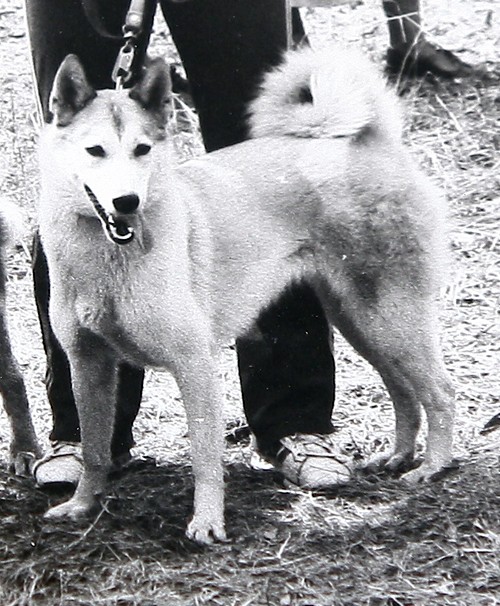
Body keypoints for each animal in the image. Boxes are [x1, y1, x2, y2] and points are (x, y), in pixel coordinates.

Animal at [37, 47, 455, 544]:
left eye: (142, 150)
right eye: (95, 151)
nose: (127, 203)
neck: (108, 259)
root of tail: (370, 141)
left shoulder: (194, 364)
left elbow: (204, 458)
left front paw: (207, 521)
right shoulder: (88, 365)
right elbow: (95, 447)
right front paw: (82, 504)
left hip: (390, 318)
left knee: (440, 391)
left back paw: (433, 466)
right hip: (363, 322)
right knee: (403, 390)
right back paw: (398, 456)